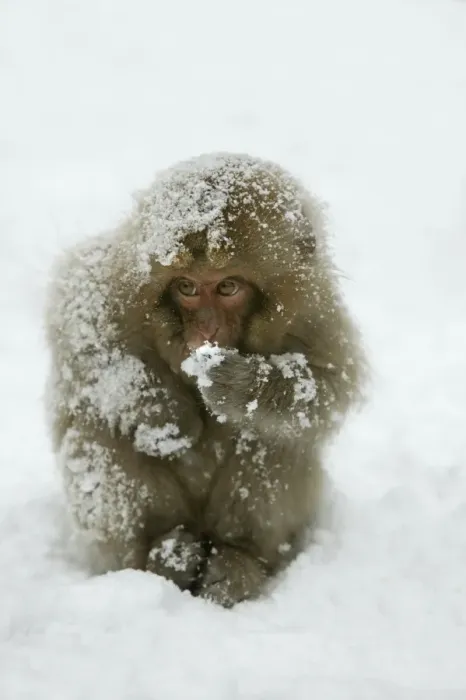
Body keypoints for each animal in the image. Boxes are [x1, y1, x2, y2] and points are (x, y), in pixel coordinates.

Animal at [45, 152, 367, 607]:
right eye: (186, 287)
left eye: (228, 286)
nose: (207, 330)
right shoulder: (117, 278)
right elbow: (83, 327)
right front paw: (168, 417)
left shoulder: (315, 311)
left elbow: (327, 385)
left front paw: (241, 386)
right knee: (98, 427)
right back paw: (165, 552)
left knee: (276, 438)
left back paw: (236, 561)